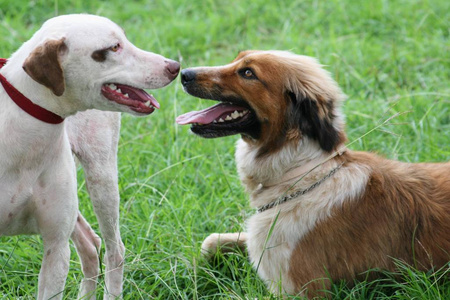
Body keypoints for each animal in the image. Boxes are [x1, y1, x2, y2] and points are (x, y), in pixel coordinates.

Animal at [0, 14, 179, 300]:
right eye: (114, 47)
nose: (175, 66)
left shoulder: (56, 247)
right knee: (90, 244)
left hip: (101, 181)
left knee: (113, 249)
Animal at [176, 51, 450, 298]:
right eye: (236, 59)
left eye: (248, 73)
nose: (184, 73)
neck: (302, 174)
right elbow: (210, 241)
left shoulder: (300, 289)